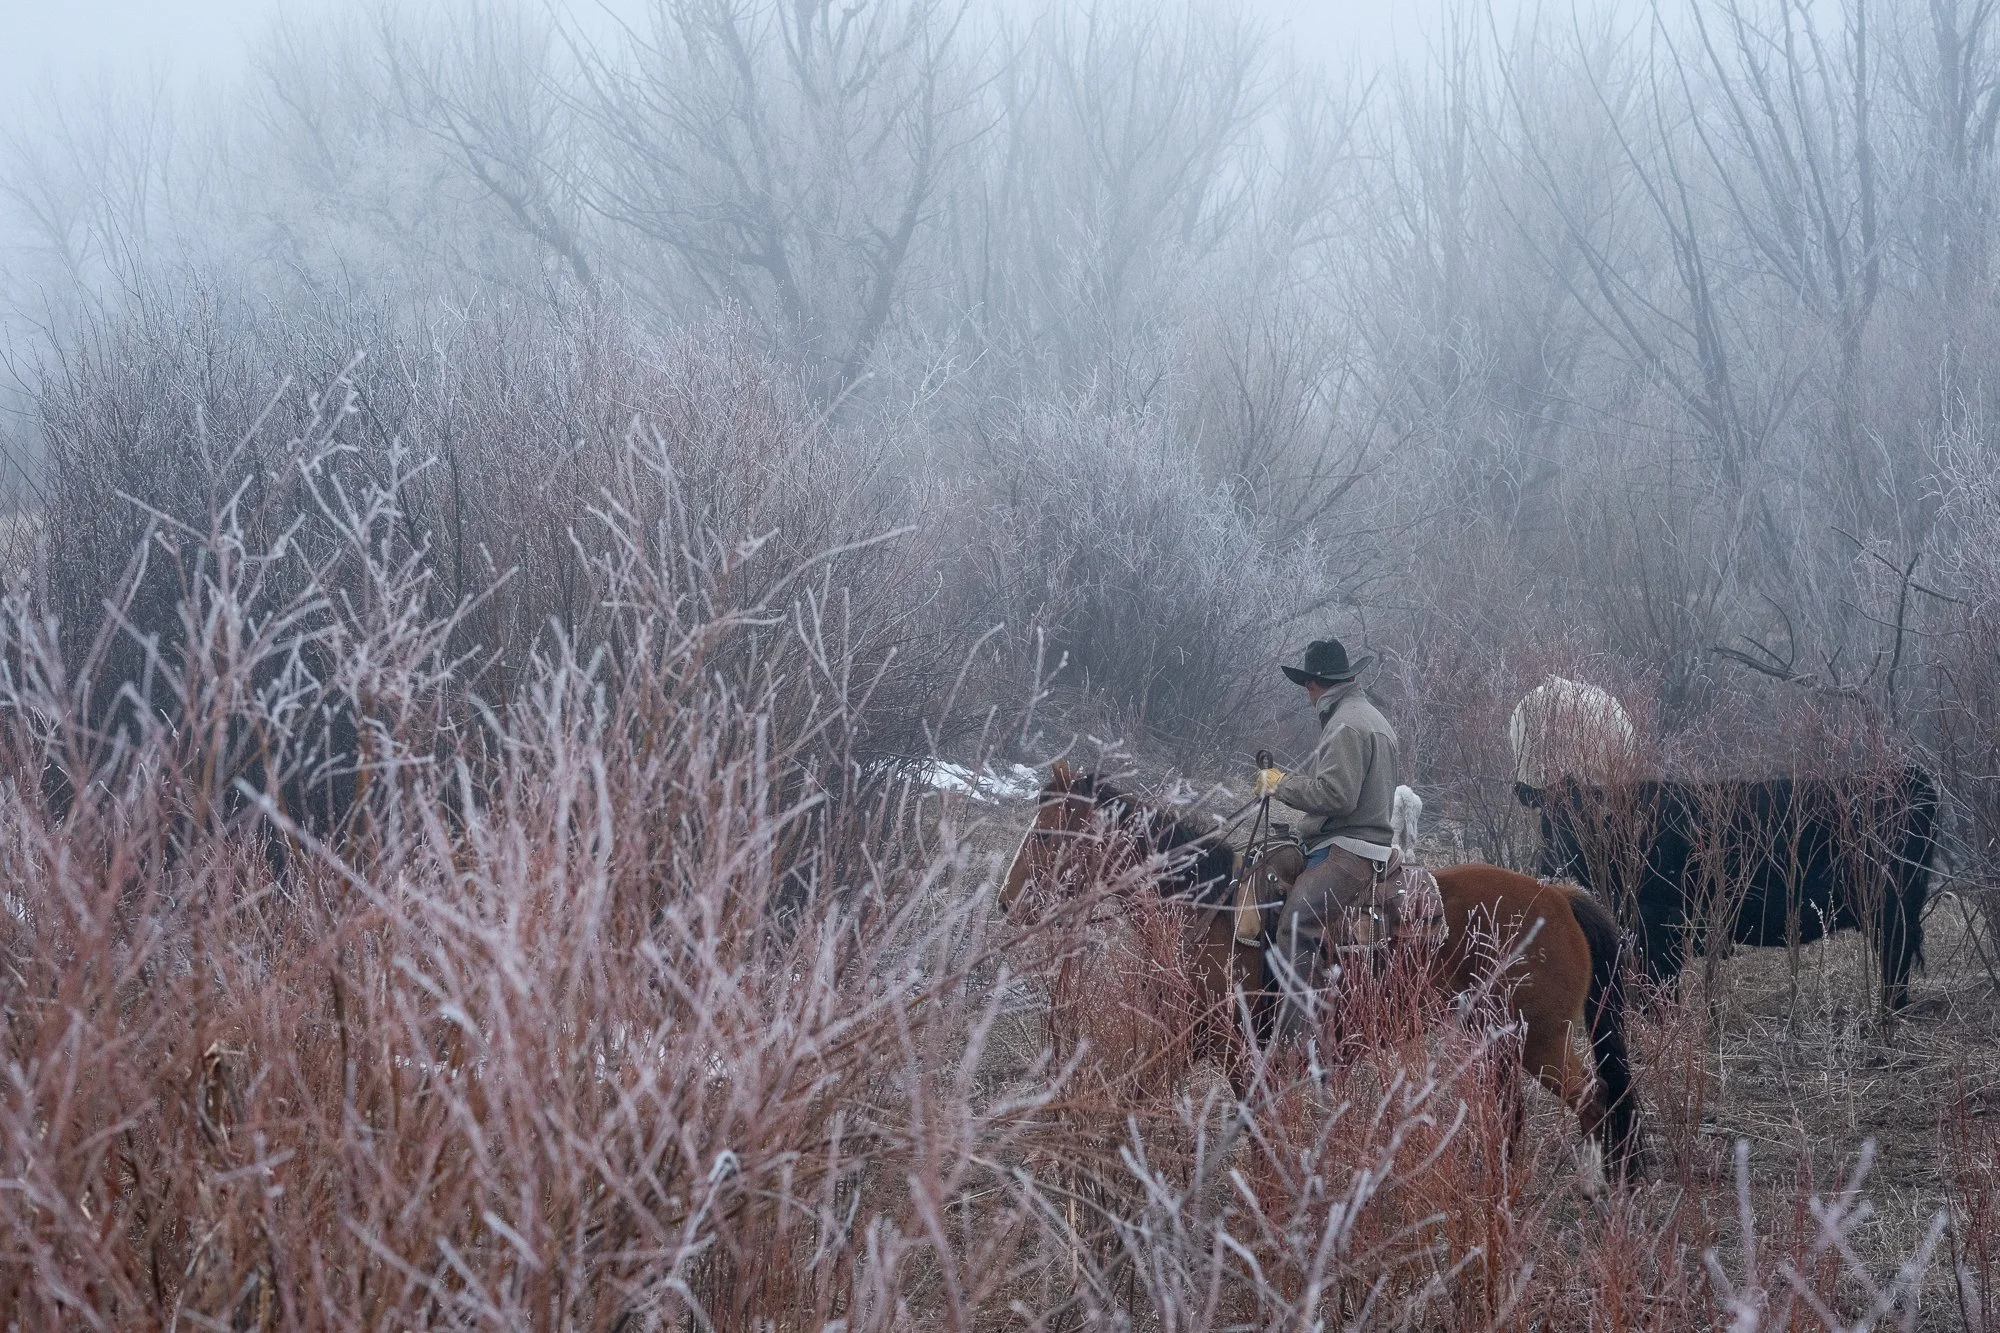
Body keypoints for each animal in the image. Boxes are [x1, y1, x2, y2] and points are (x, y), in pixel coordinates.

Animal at [1521, 766, 1940, 1009]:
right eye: (1547, 817)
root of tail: (1910, 773)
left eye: (1584, 816)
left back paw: (1888, 1012)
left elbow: (1659, 987)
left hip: (1891, 903)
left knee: (1896, 954)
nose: (1555, 860)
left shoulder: (1659, 922)